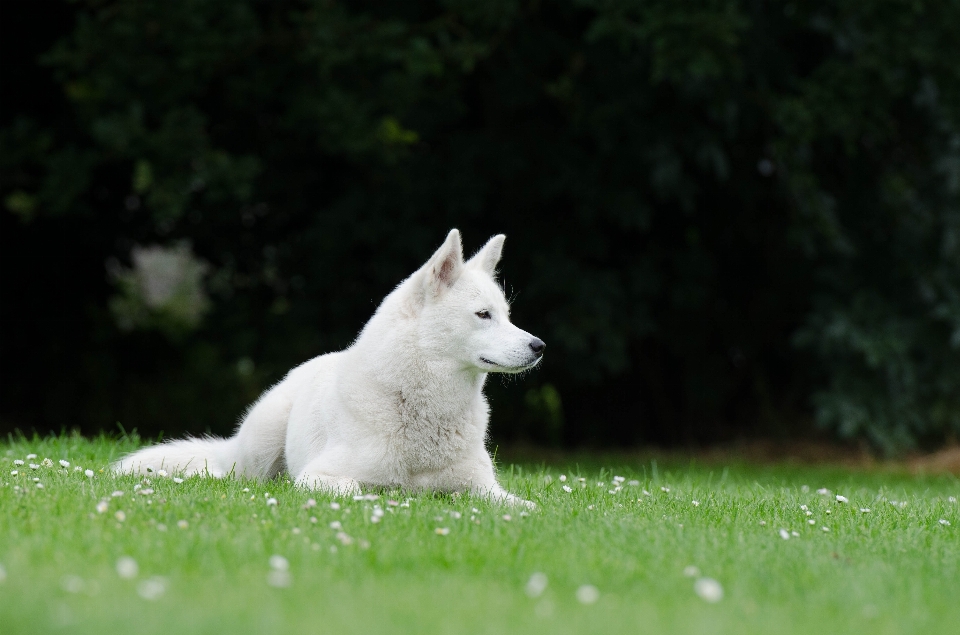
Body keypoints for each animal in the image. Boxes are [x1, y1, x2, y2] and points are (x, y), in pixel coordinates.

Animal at [114, 230, 540, 506]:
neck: (421, 406)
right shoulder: (320, 476)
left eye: (506, 315)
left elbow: (522, 507)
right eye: (483, 315)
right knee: (230, 471)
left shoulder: (484, 489)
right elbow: (362, 490)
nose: (540, 347)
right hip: (259, 448)